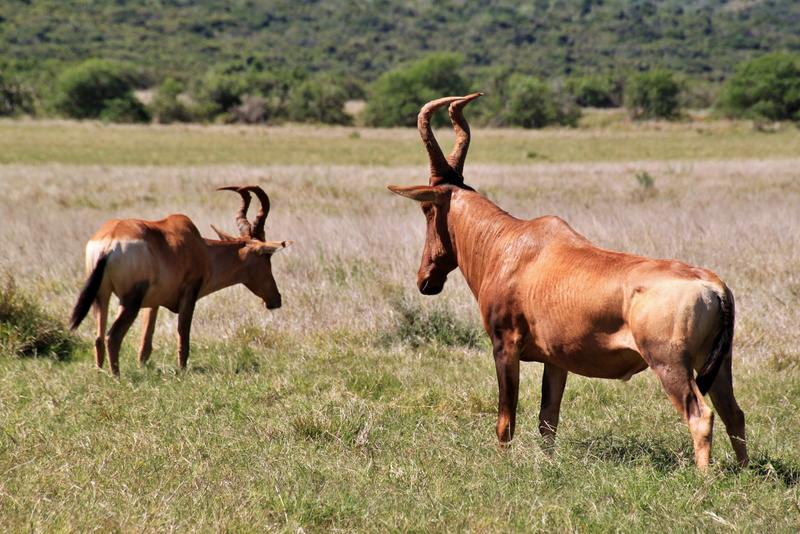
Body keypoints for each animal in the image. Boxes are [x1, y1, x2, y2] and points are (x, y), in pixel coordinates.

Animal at [69, 185, 292, 376]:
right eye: (267, 256)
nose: (275, 300)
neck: (200, 246)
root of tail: (109, 241)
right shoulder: (189, 293)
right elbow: (183, 334)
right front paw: (182, 370)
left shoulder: (152, 303)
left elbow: (146, 341)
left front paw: (142, 365)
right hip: (129, 301)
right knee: (112, 336)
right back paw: (116, 377)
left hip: (101, 295)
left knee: (98, 337)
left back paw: (100, 373)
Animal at [388, 94, 747, 469]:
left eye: (427, 208)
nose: (425, 279)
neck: (512, 244)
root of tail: (713, 286)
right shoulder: (555, 360)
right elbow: (548, 420)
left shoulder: (505, 345)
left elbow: (506, 419)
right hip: (718, 364)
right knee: (734, 414)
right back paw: (743, 471)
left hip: (670, 364)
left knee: (700, 415)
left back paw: (703, 478)